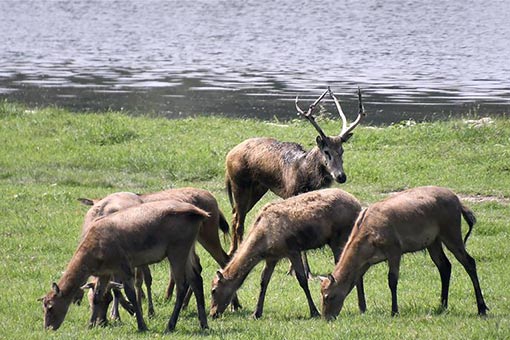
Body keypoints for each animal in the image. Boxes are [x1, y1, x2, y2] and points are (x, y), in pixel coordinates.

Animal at [40, 199, 210, 332]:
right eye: (43, 305)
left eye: (50, 306)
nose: (48, 327)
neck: (94, 257)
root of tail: (201, 214)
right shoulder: (105, 272)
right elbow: (97, 296)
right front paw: (90, 324)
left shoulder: (123, 265)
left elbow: (131, 293)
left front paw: (142, 325)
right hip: (189, 248)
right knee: (196, 278)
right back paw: (204, 324)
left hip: (177, 249)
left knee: (182, 285)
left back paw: (170, 325)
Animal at [208, 189, 366, 318]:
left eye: (214, 290)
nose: (213, 313)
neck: (263, 243)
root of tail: (358, 205)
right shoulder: (272, 257)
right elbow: (263, 282)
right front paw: (256, 313)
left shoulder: (292, 250)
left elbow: (302, 280)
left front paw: (314, 311)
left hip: (340, 238)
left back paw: (362, 306)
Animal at [225, 85, 364, 268]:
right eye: (326, 152)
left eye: (342, 151)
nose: (341, 176)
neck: (306, 175)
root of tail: (228, 155)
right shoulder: (290, 193)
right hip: (239, 183)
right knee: (239, 220)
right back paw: (236, 252)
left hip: (258, 189)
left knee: (234, 214)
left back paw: (231, 251)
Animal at [318, 185, 490, 320]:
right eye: (321, 294)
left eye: (329, 296)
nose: (327, 317)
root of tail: (459, 202)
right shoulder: (366, 263)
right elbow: (358, 280)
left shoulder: (395, 249)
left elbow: (392, 280)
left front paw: (394, 311)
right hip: (433, 241)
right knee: (445, 266)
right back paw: (442, 305)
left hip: (451, 232)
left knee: (469, 262)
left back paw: (482, 308)